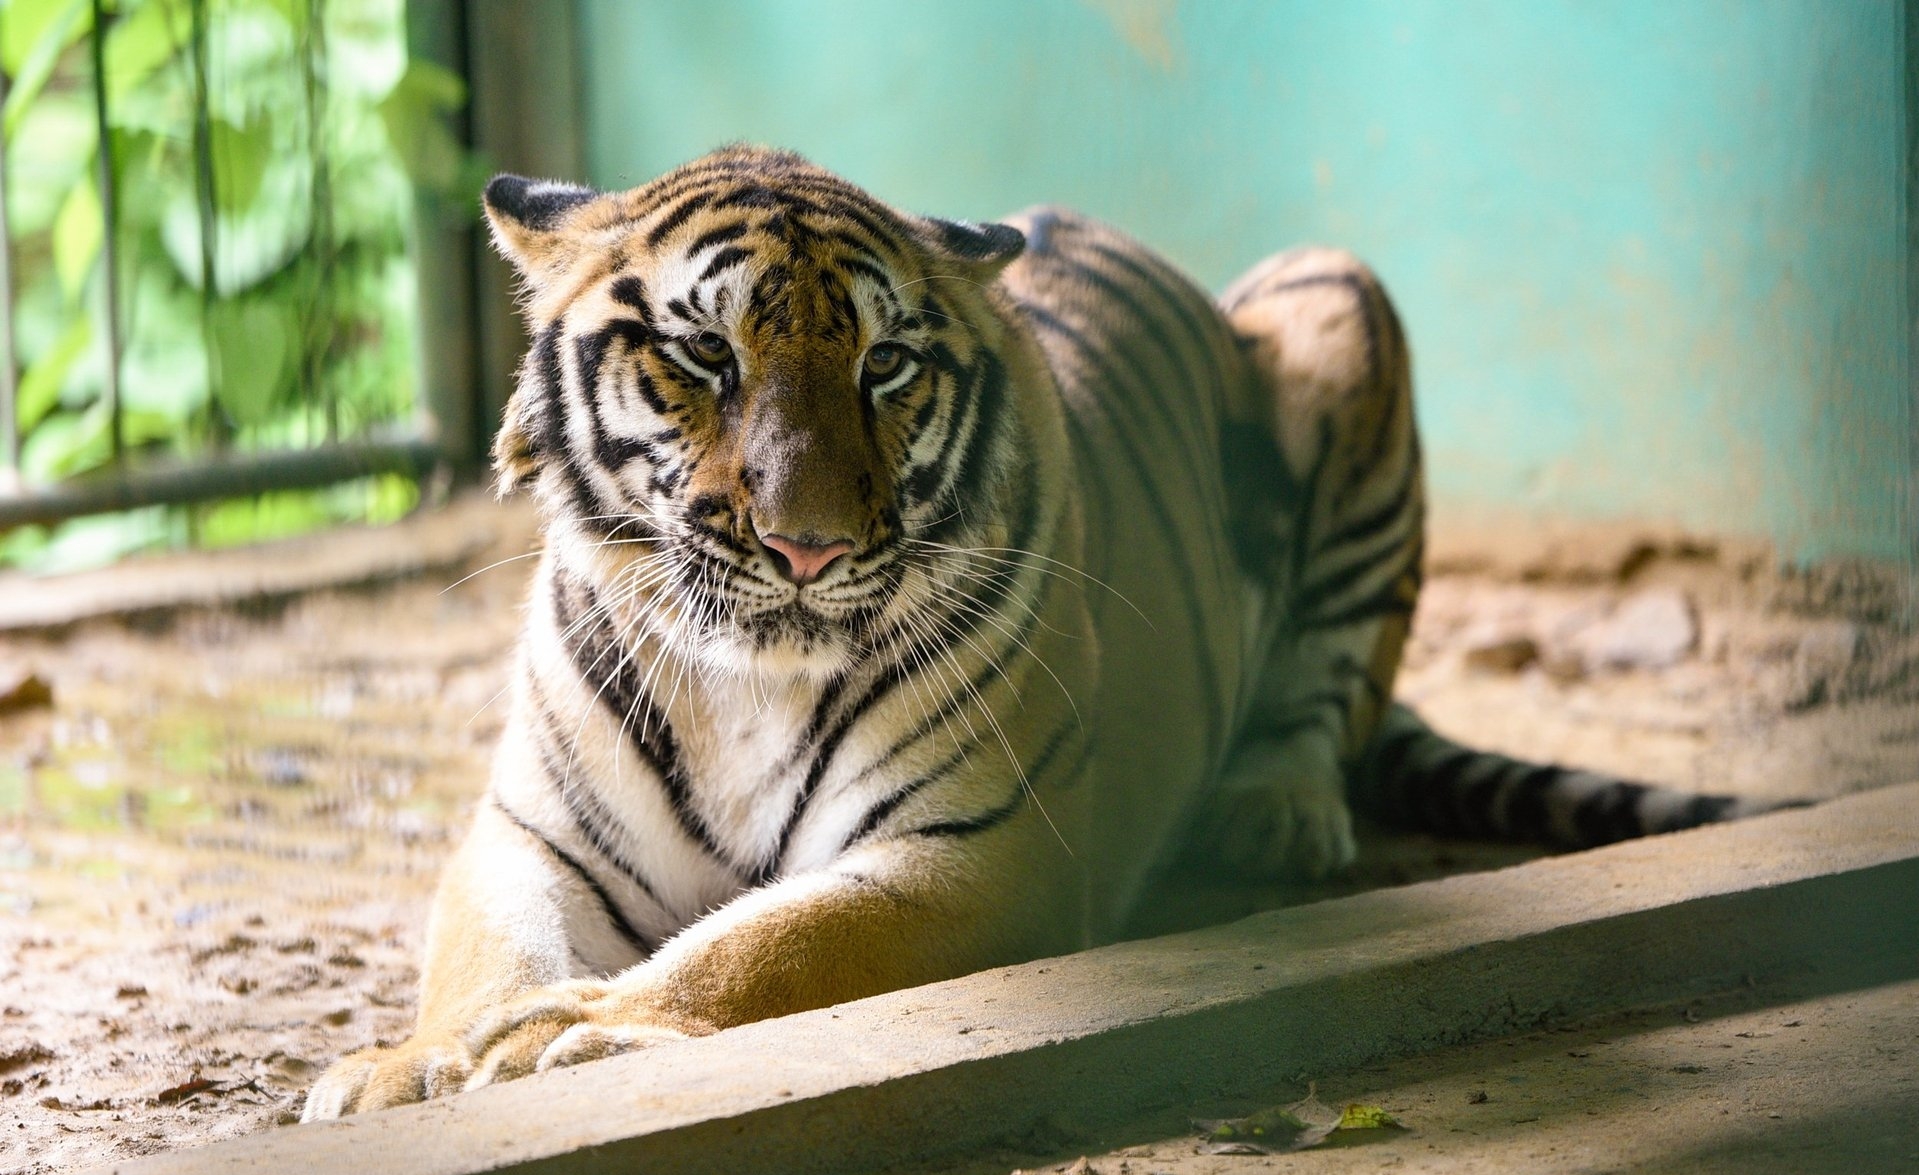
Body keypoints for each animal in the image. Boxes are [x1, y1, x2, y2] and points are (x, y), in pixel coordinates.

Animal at [303, 142, 1780, 1113]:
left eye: (883, 365)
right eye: (704, 355)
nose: (805, 546)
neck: (741, 686)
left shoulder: (975, 849)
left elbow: (758, 944)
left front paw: (577, 1033)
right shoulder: (530, 834)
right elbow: (485, 954)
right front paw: (412, 1062)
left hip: (1335, 292)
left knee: (1330, 689)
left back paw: (1270, 807)